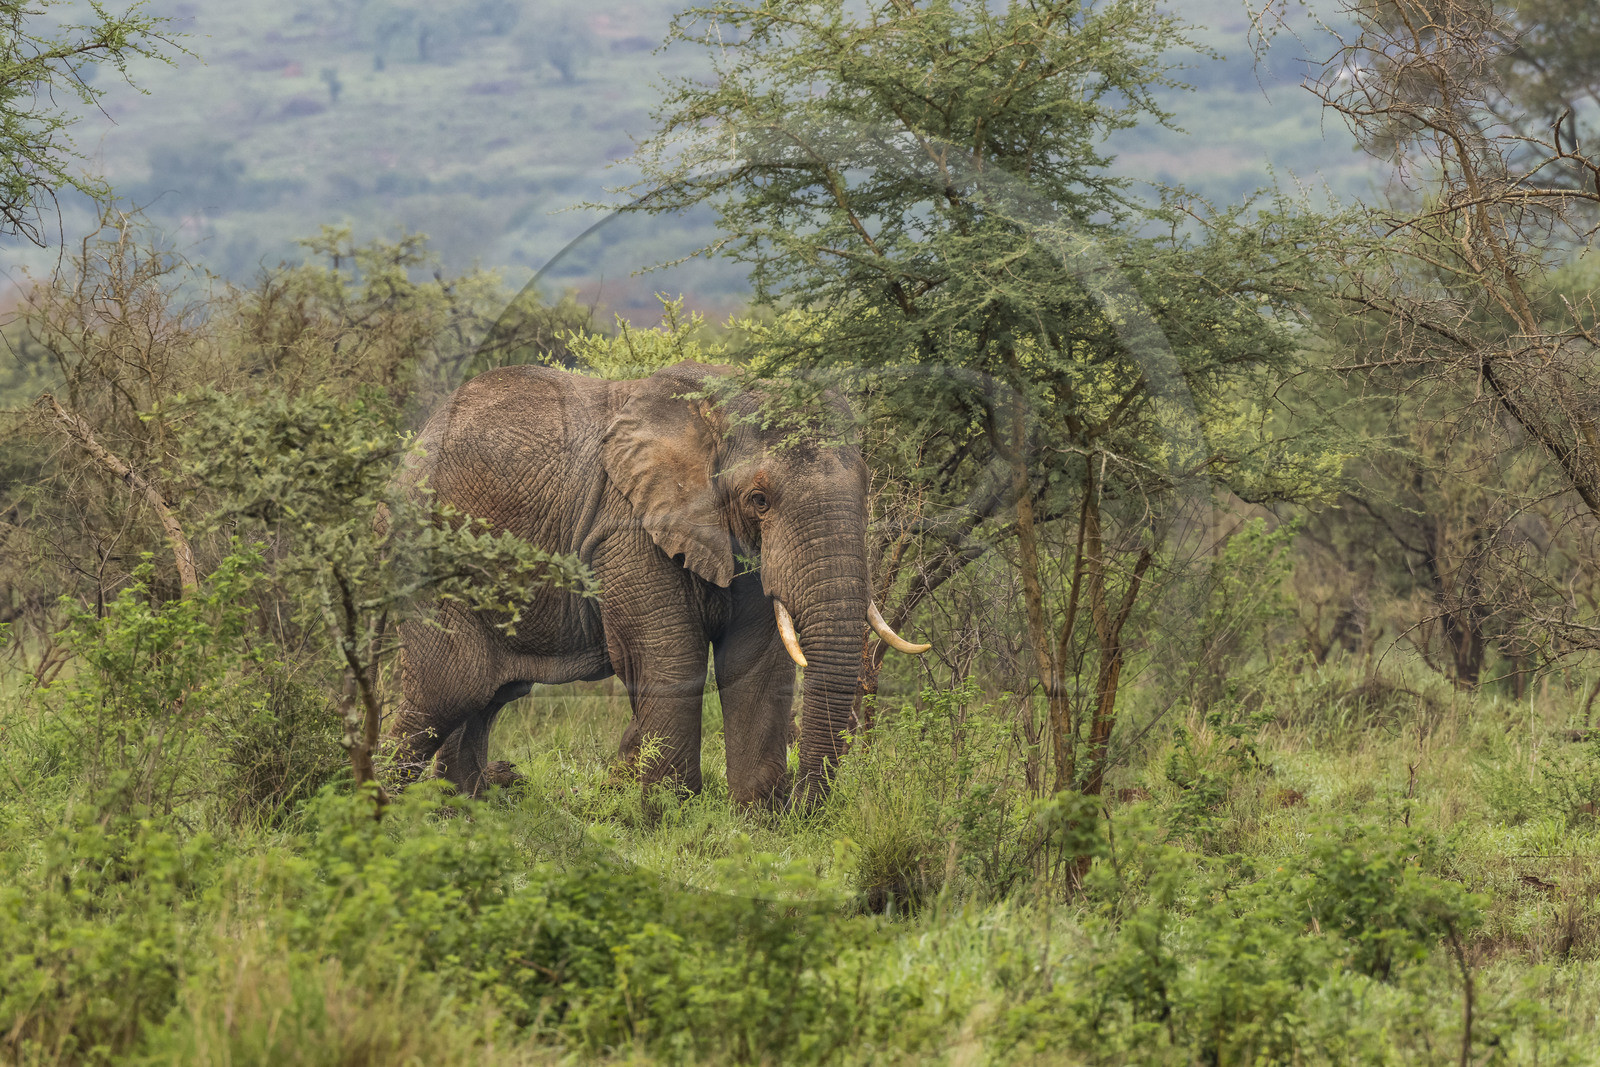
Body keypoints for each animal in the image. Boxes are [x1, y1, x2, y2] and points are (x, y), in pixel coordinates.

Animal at [391, 360, 929, 806]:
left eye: (866, 489)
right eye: (759, 500)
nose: (805, 808)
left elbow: (757, 663)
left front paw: (758, 818)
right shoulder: (629, 529)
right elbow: (671, 656)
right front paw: (666, 813)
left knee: (485, 699)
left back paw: (464, 809)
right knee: (447, 692)